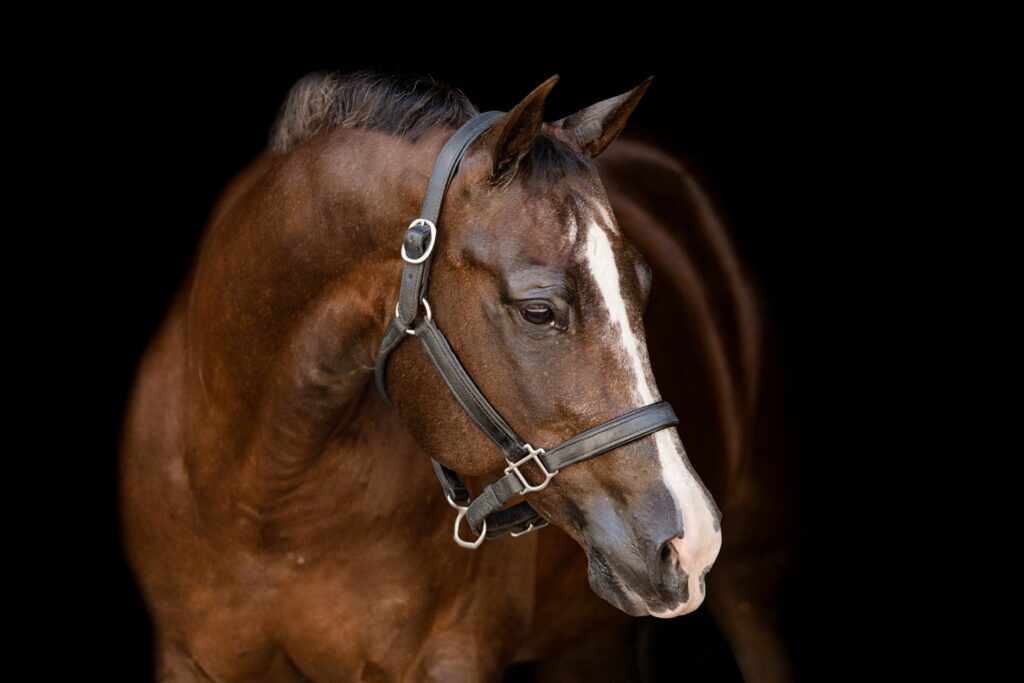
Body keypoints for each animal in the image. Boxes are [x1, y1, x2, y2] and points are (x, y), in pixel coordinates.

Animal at [117, 72, 790, 679]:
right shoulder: (186, 659)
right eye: (538, 311)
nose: (690, 542)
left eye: (645, 289)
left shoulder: (450, 656)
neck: (265, 498)